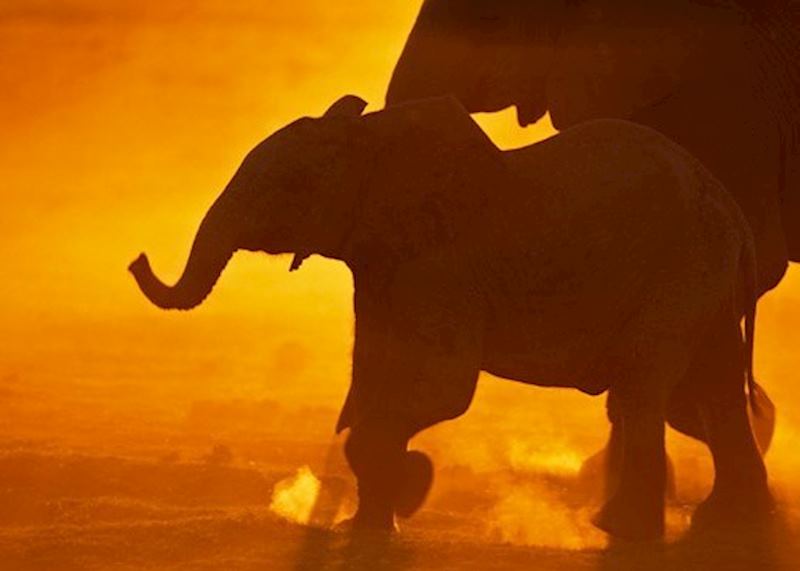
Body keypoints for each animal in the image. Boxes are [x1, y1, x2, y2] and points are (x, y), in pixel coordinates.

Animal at [130, 95, 771, 540]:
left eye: (287, 186)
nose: (135, 259)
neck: (371, 136)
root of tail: (736, 218)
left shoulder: (439, 265)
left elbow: (438, 386)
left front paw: (409, 490)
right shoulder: (381, 265)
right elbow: (373, 377)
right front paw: (371, 522)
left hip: (682, 270)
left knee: (644, 390)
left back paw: (622, 530)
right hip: (704, 284)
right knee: (713, 393)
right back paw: (730, 524)